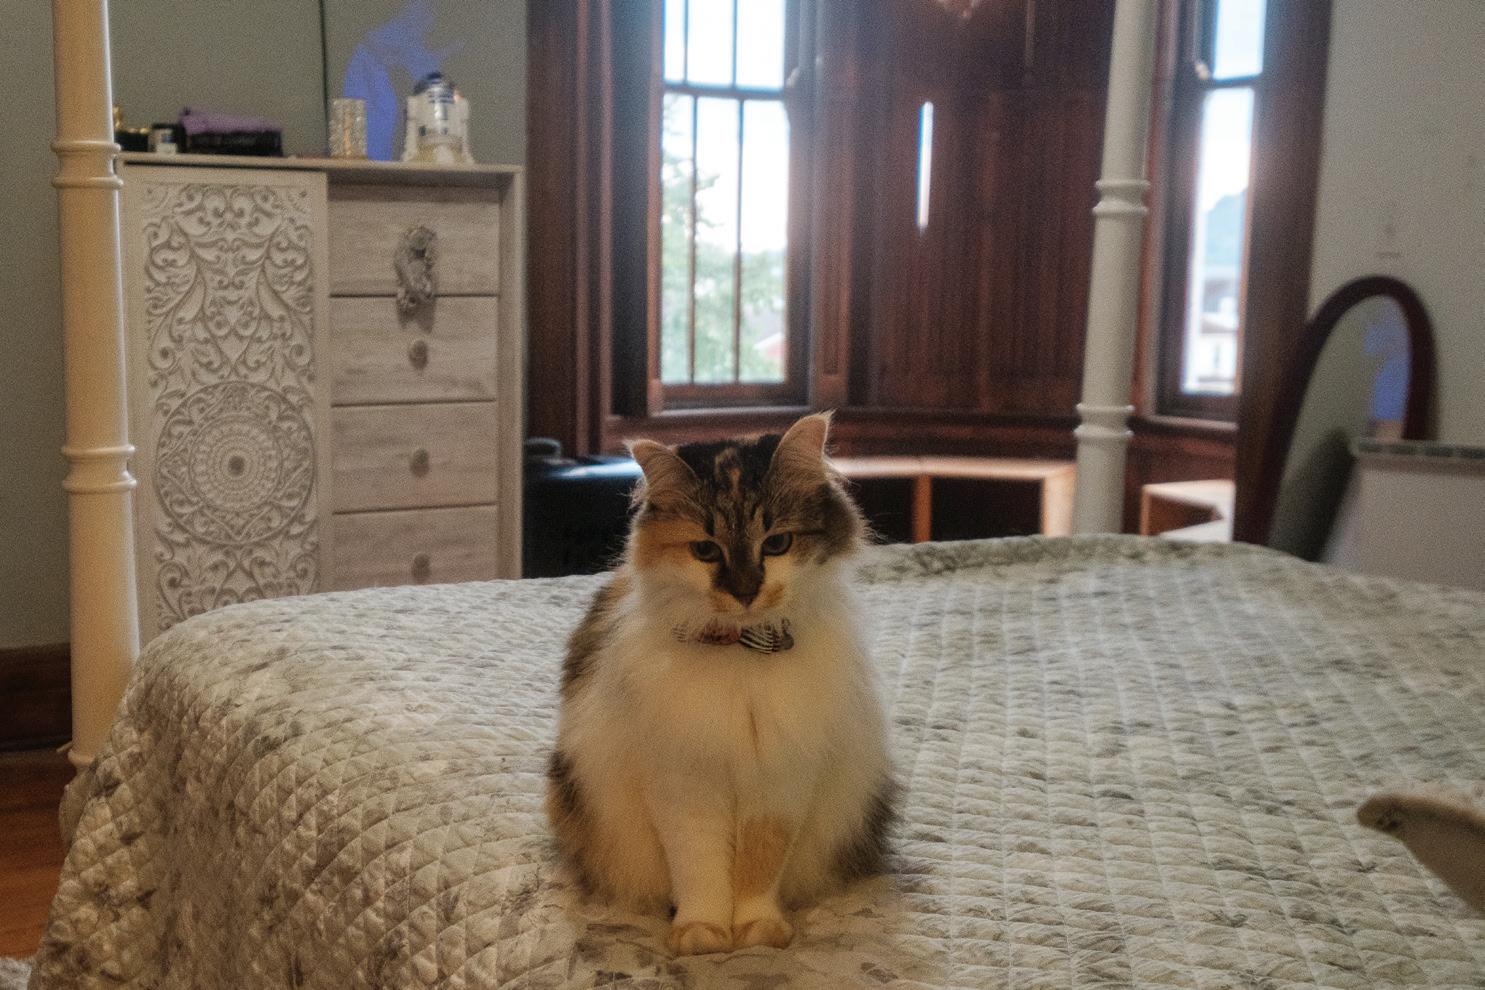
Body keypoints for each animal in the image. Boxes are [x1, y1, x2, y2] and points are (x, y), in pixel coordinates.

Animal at [547, 413, 896, 956]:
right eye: (705, 550)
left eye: (776, 543)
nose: (746, 591)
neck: (741, 652)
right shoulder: (685, 786)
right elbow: (701, 871)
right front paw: (702, 934)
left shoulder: (780, 785)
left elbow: (758, 869)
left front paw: (757, 932)